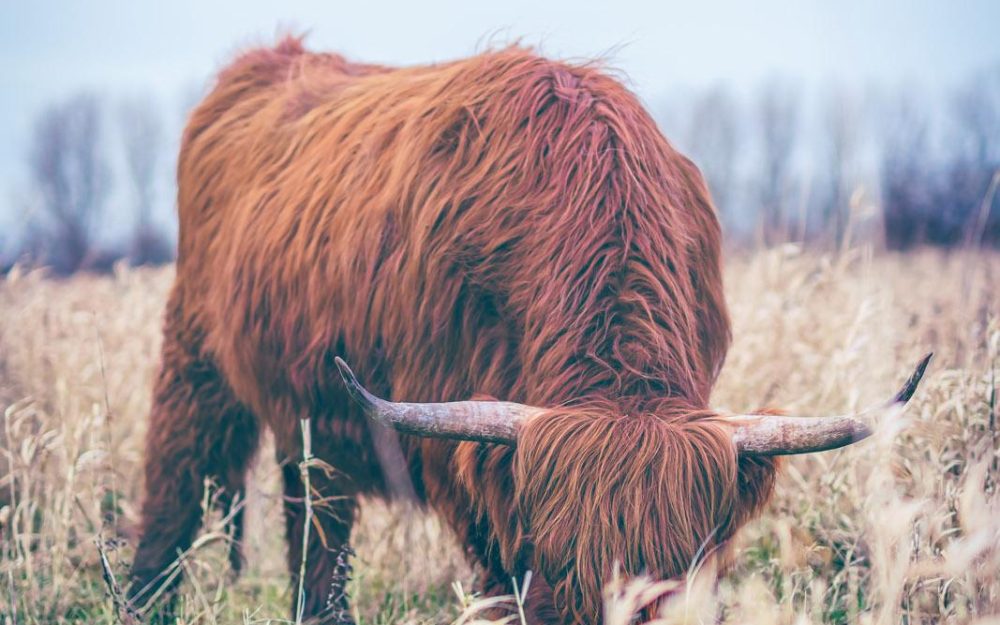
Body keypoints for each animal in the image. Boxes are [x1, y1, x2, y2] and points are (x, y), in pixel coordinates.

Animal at [127, 39, 928, 624]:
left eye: (684, 567)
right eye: (565, 562)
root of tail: (271, 58)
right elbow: (501, 578)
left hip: (309, 417)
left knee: (315, 518)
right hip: (192, 355)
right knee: (175, 480)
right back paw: (143, 600)